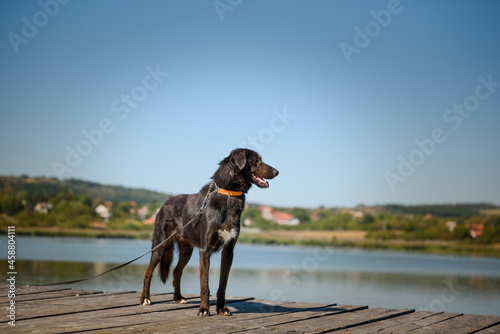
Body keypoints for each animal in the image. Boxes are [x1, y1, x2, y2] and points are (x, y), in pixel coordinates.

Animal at [140, 148, 278, 316]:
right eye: (256, 160)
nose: (277, 172)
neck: (229, 194)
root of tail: (166, 202)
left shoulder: (228, 250)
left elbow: (222, 285)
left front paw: (222, 308)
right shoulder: (204, 250)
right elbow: (204, 285)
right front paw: (204, 309)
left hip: (187, 251)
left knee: (176, 271)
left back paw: (178, 297)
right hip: (160, 246)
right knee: (148, 272)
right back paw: (145, 299)